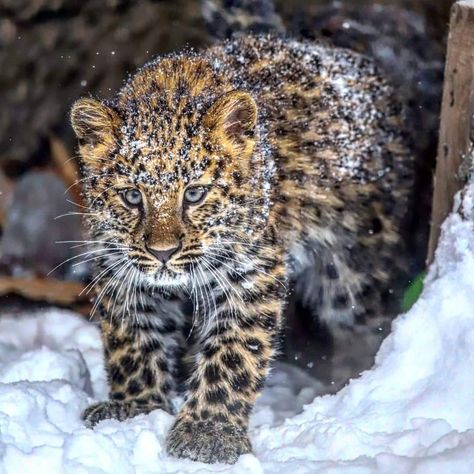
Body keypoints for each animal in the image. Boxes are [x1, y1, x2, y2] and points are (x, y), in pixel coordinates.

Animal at [69, 36, 412, 462]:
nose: (163, 252)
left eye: (194, 194)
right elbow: (133, 339)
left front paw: (208, 431)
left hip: (352, 264)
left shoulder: (251, 274)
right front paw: (137, 408)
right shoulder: (122, 269)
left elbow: (232, 353)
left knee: (362, 319)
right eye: (132, 196)